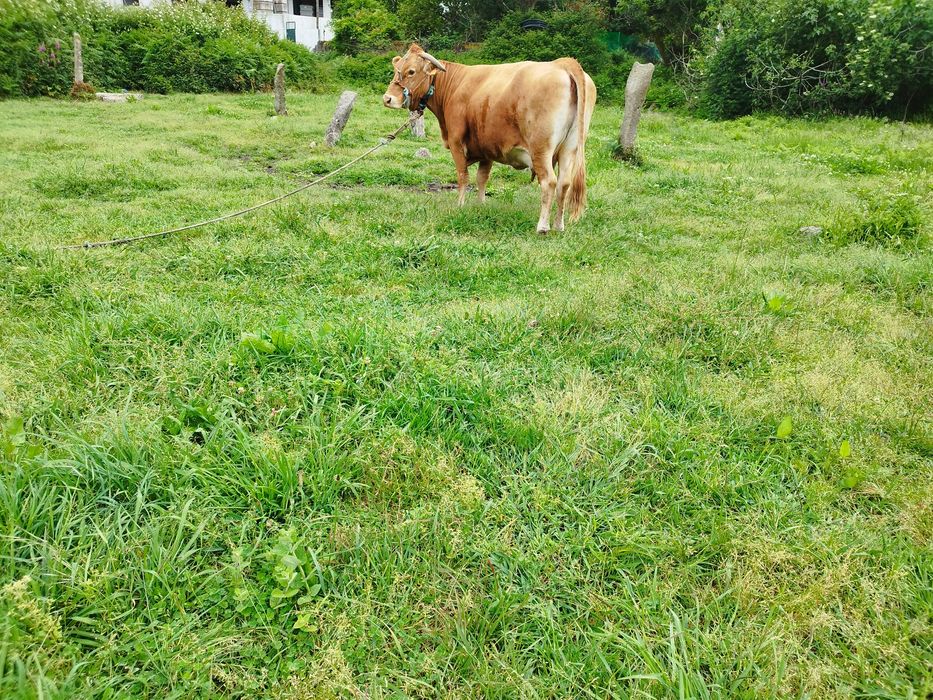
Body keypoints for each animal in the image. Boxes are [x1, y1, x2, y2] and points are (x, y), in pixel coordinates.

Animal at [383, 44, 596, 234]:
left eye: (411, 71)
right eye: (396, 69)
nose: (387, 98)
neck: (456, 84)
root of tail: (562, 64)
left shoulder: (456, 142)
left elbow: (463, 176)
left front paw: (460, 205)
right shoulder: (485, 147)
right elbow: (482, 178)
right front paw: (480, 204)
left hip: (541, 149)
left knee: (549, 182)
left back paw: (542, 227)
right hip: (570, 148)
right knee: (564, 183)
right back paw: (559, 226)